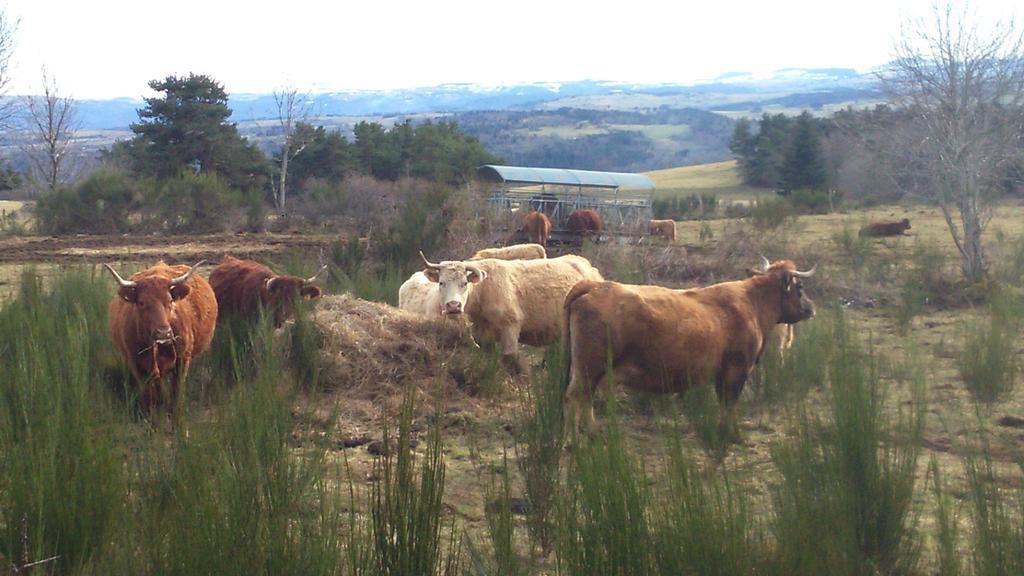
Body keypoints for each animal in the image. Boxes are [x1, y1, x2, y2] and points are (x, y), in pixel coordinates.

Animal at [105, 260, 218, 407]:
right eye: (141, 302)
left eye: (170, 300)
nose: (164, 333)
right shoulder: (135, 362)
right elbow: (149, 395)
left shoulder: (183, 359)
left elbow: (176, 392)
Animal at [561, 255, 815, 430]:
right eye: (800, 287)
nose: (811, 308)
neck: (751, 304)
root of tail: (593, 286)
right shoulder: (737, 370)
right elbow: (729, 403)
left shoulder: (722, 373)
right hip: (588, 368)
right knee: (575, 398)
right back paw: (575, 441)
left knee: (585, 398)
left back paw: (592, 432)